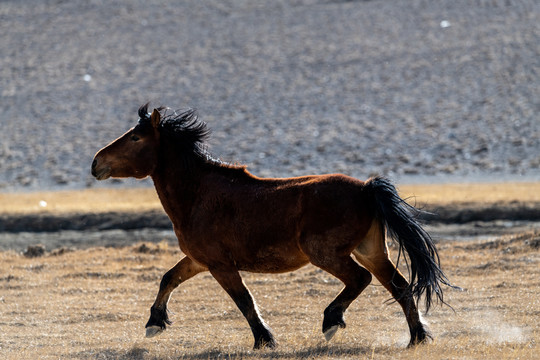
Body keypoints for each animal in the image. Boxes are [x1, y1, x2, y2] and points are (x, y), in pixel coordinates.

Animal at [92, 103, 452, 348]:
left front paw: (265, 340)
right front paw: (155, 323)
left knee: (360, 279)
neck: (197, 195)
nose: (96, 164)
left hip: (328, 253)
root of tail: (365, 188)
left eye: (135, 137)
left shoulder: (220, 265)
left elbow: (244, 301)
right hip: (371, 250)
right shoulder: (199, 259)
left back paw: (331, 321)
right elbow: (169, 278)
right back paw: (417, 338)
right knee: (400, 286)